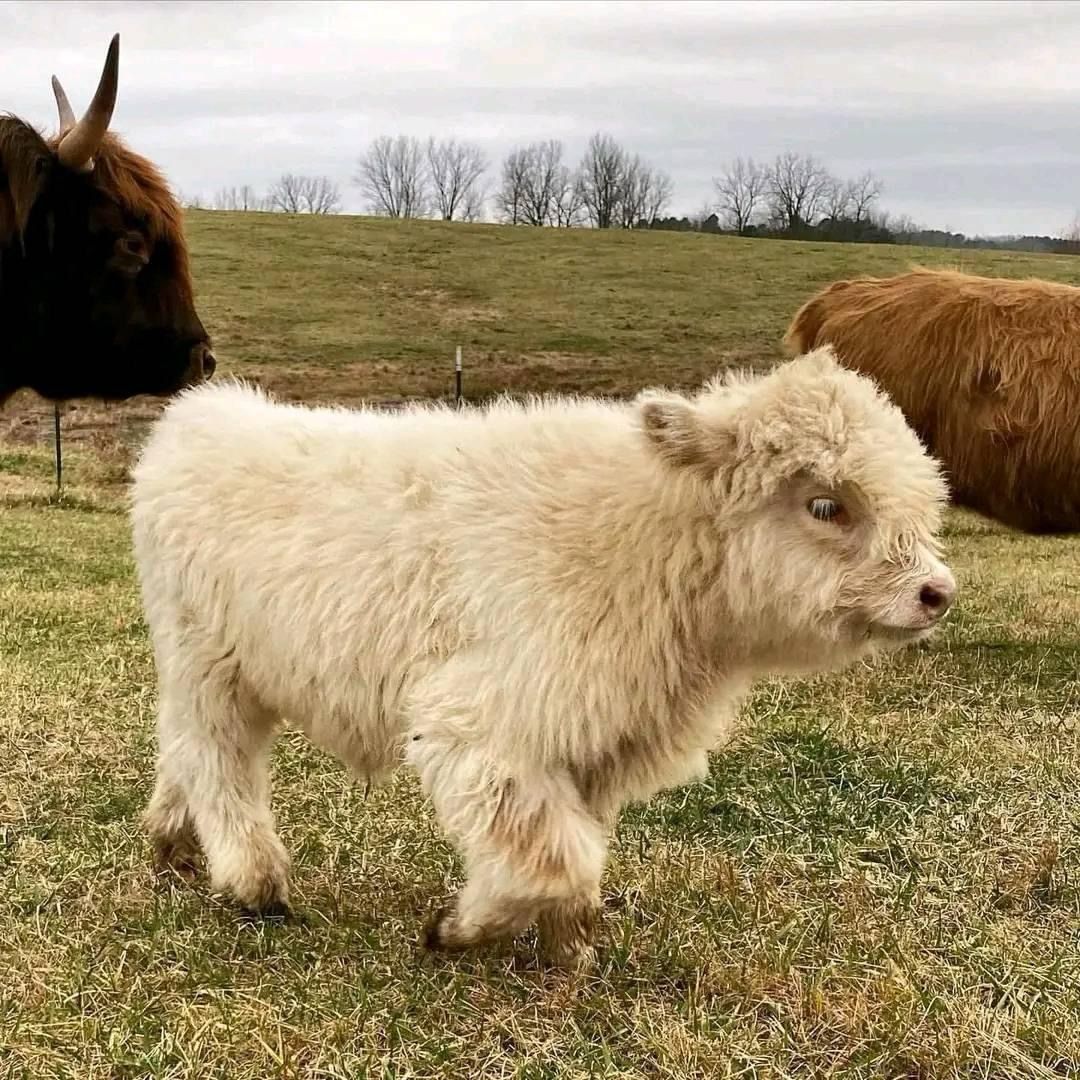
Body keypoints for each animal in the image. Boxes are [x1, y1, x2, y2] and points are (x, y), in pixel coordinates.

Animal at [130, 348, 955, 970]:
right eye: (826, 504)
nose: (937, 592)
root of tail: (200, 416)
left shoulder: (591, 745)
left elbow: (576, 852)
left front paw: (569, 948)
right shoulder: (479, 725)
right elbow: (552, 858)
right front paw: (460, 928)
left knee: (182, 751)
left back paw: (170, 842)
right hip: (206, 663)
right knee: (218, 760)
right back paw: (253, 880)